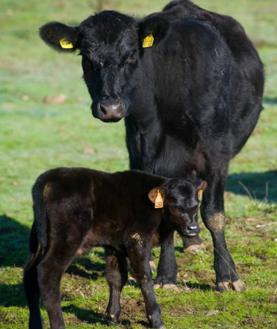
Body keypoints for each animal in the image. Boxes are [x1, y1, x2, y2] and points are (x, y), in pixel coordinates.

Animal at [23, 168, 205, 328]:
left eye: (196, 205)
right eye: (176, 206)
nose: (193, 228)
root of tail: (49, 177)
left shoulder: (114, 245)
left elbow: (116, 278)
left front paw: (112, 317)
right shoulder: (137, 241)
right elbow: (144, 277)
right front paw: (156, 320)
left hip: (39, 243)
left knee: (30, 273)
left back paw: (35, 324)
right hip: (66, 239)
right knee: (48, 272)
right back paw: (59, 325)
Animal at [39, 1, 264, 290]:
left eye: (131, 55)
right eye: (86, 57)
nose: (110, 108)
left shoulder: (216, 154)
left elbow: (214, 213)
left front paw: (227, 276)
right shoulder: (142, 153)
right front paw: (166, 276)